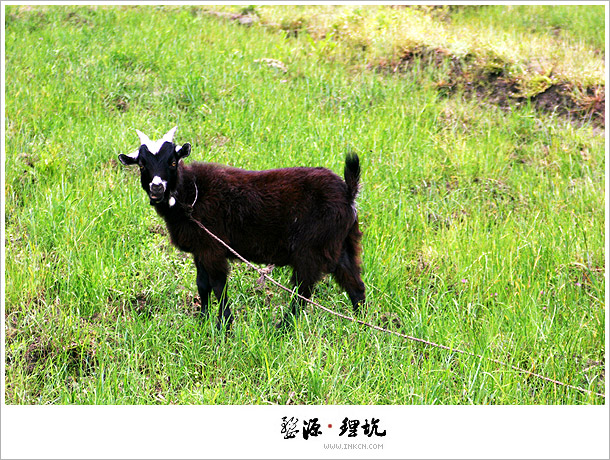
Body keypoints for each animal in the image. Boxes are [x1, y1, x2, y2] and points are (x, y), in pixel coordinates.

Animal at [121, 126, 364, 328]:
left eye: (173, 162)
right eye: (142, 164)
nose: (157, 187)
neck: (191, 195)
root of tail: (348, 193)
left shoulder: (213, 249)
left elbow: (218, 286)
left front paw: (225, 326)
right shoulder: (201, 249)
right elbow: (202, 284)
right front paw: (202, 321)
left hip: (311, 250)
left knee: (302, 291)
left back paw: (282, 328)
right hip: (342, 243)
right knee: (355, 284)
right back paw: (360, 324)